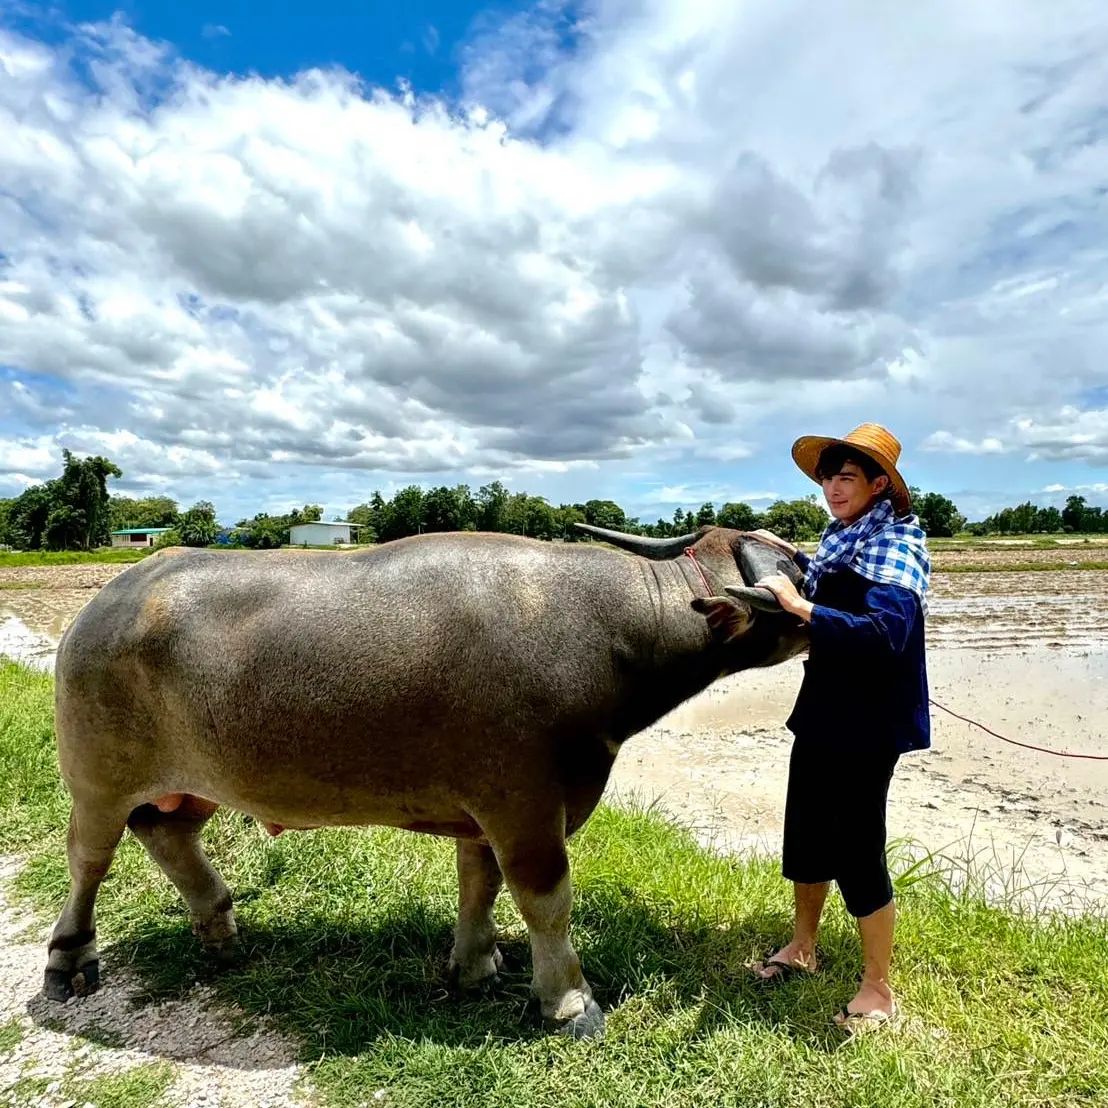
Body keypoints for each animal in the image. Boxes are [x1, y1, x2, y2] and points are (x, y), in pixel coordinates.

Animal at [45, 522, 806, 1032]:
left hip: (195, 781)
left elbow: (480, 883)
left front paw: (473, 967)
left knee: (168, 835)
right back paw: (68, 961)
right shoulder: (526, 803)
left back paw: (219, 927)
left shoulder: (486, 809)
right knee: (89, 858)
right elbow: (545, 900)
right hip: (98, 780)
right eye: (804, 566)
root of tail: (104, 601)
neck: (608, 630)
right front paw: (568, 1001)